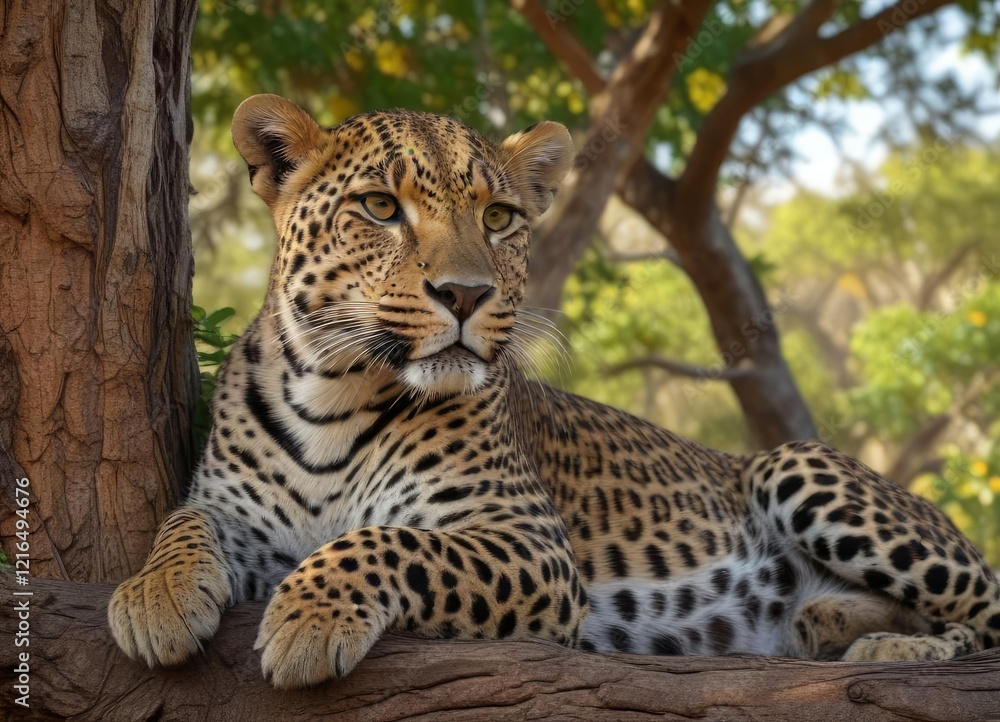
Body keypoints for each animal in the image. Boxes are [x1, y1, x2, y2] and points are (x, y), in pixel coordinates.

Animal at [108, 94, 1000, 689]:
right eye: (380, 207)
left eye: (500, 217)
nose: (465, 295)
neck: (335, 393)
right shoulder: (240, 513)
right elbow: (183, 523)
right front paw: (154, 597)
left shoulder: (526, 540)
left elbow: (387, 541)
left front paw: (309, 617)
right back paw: (838, 624)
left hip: (798, 468)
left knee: (989, 612)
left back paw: (895, 648)